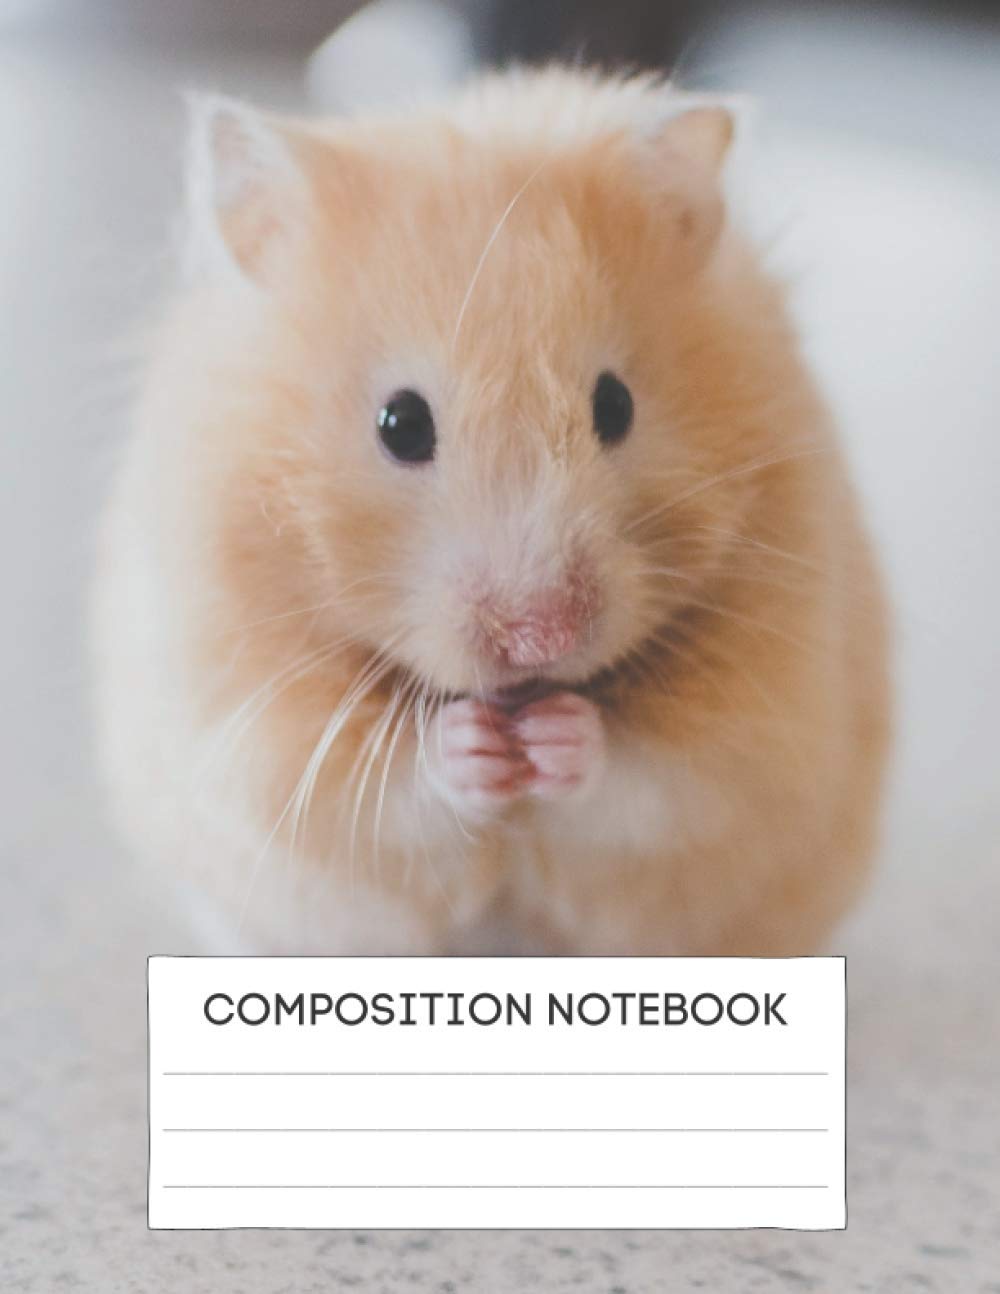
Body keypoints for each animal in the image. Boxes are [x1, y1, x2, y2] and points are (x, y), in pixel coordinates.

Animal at [93, 68, 890, 955]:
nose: (542, 639)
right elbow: (382, 786)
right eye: (400, 424)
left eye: (615, 406)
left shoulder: (764, 720)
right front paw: (473, 746)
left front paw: (558, 736)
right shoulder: (249, 719)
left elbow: (654, 779)